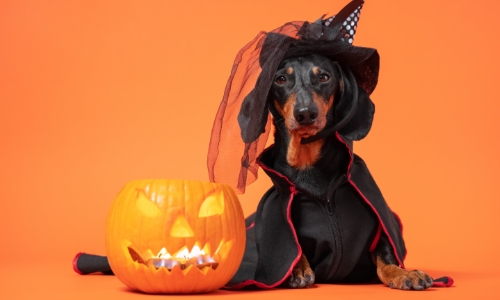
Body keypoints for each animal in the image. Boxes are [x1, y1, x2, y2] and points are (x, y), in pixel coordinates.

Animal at [262, 54, 434, 290]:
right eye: (280, 79)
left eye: (324, 77)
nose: (305, 114)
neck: (308, 166)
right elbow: (295, 247)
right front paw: (298, 268)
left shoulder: (380, 226)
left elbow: (386, 257)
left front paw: (403, 273)